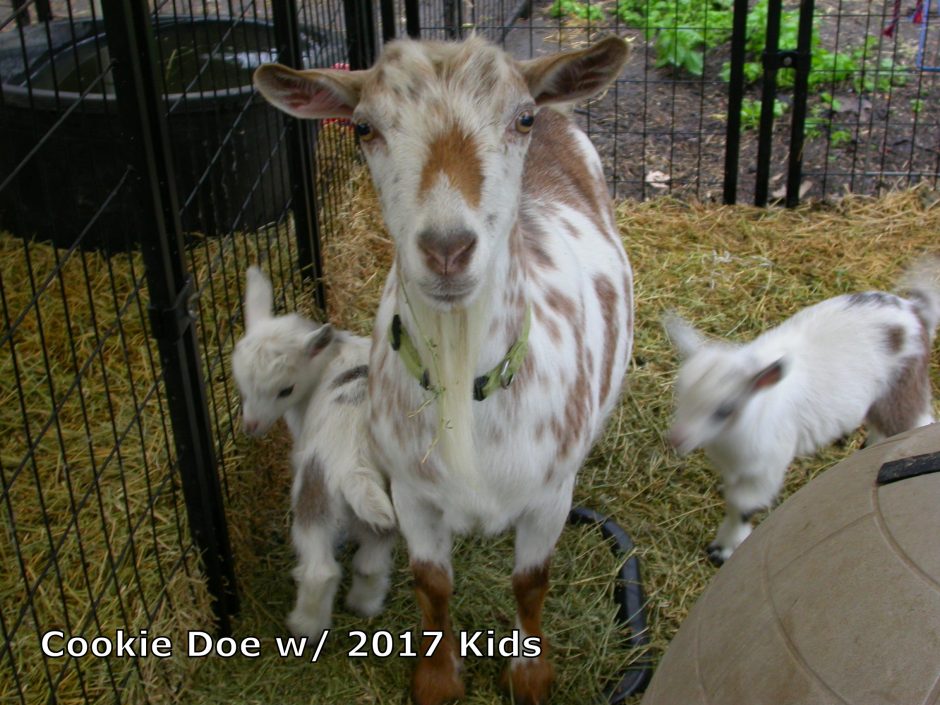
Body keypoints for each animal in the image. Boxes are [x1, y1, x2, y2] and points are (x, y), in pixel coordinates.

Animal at [231, 266, 396, 640]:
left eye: (285, 390)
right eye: (241, 385)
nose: (252, 427)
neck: (329, 359)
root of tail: (356, 465)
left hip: (314, 493)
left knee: (320, 570)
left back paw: (304, 627)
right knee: (372, 559)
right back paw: (364, 605)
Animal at [255, 35, 633, 704]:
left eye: (522, 118)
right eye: (364, 127)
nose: (448, 248)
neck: (467, 387)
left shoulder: (550, 494)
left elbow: (532, 581)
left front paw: (530, 676)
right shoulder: (410, 491)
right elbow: (431, 582)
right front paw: (435, 679)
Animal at [664, 258, 940, 565]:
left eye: (725, 410)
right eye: (681, 391)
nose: (676, 439)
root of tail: (915, 311)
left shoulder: (767, 465)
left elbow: (742, 504)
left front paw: (723, 550)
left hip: (902, 386)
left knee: (916, 420)